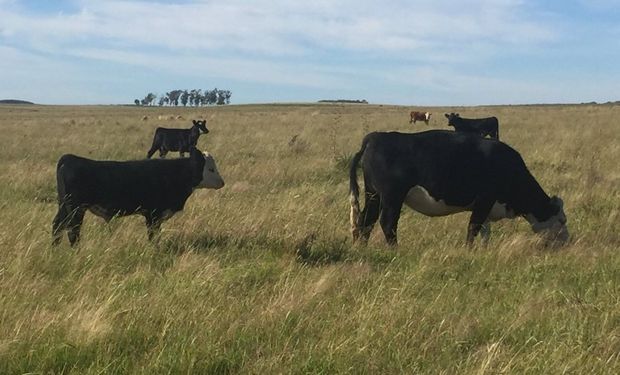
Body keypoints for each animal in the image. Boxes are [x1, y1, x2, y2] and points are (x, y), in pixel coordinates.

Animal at [51, 146, 225, 247]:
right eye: (210, 169)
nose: (222, 182)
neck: (173, 174)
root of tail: (69, 158)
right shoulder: (153, 214)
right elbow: (153, 235)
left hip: (64, 206)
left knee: (57, 225)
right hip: (75, 209)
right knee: (72, 230)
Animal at [348, 131, 568, 247]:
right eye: (562, 220)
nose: (567, 241)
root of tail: (375, 136)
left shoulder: (486, 206)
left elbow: (484, 230)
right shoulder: (485, 199)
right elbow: (474, 226)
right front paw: (468, 249)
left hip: (373, 194)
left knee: (365, 220)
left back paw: (363, 247)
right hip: (392, 196)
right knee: (387, 222)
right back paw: (394, 249)